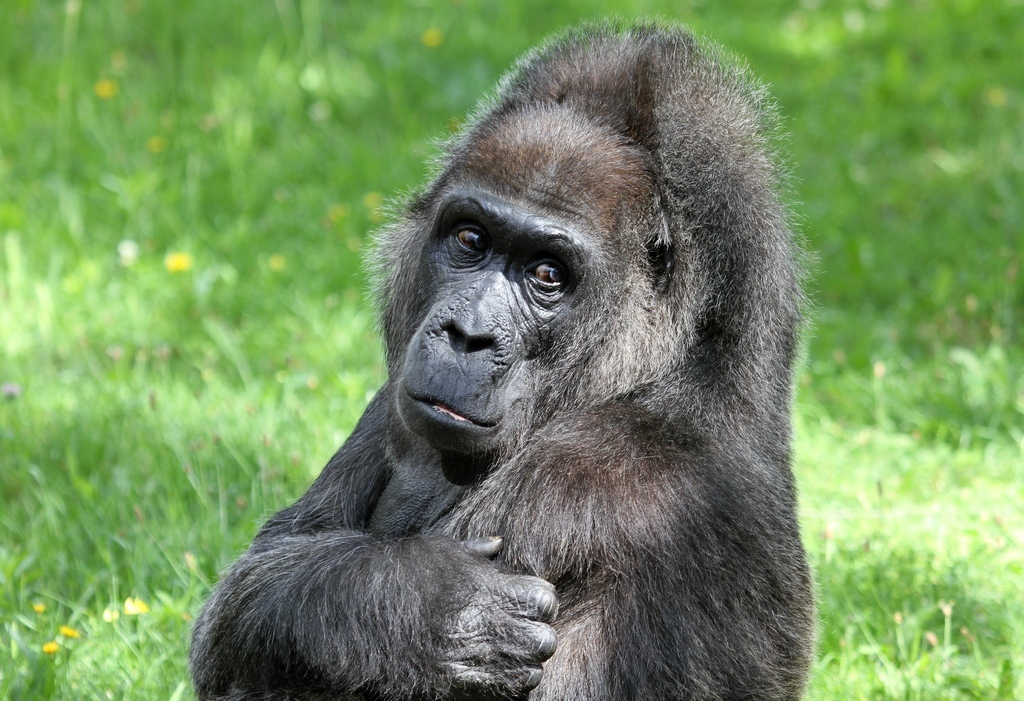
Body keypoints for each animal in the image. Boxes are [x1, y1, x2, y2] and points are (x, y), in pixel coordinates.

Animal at [190, 21, 815, 699]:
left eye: (548, 275)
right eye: (471, 238)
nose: (467, 335)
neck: (683, 357)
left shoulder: (609, 476)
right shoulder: (391, 402)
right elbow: (251, 590)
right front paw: (425, 605)